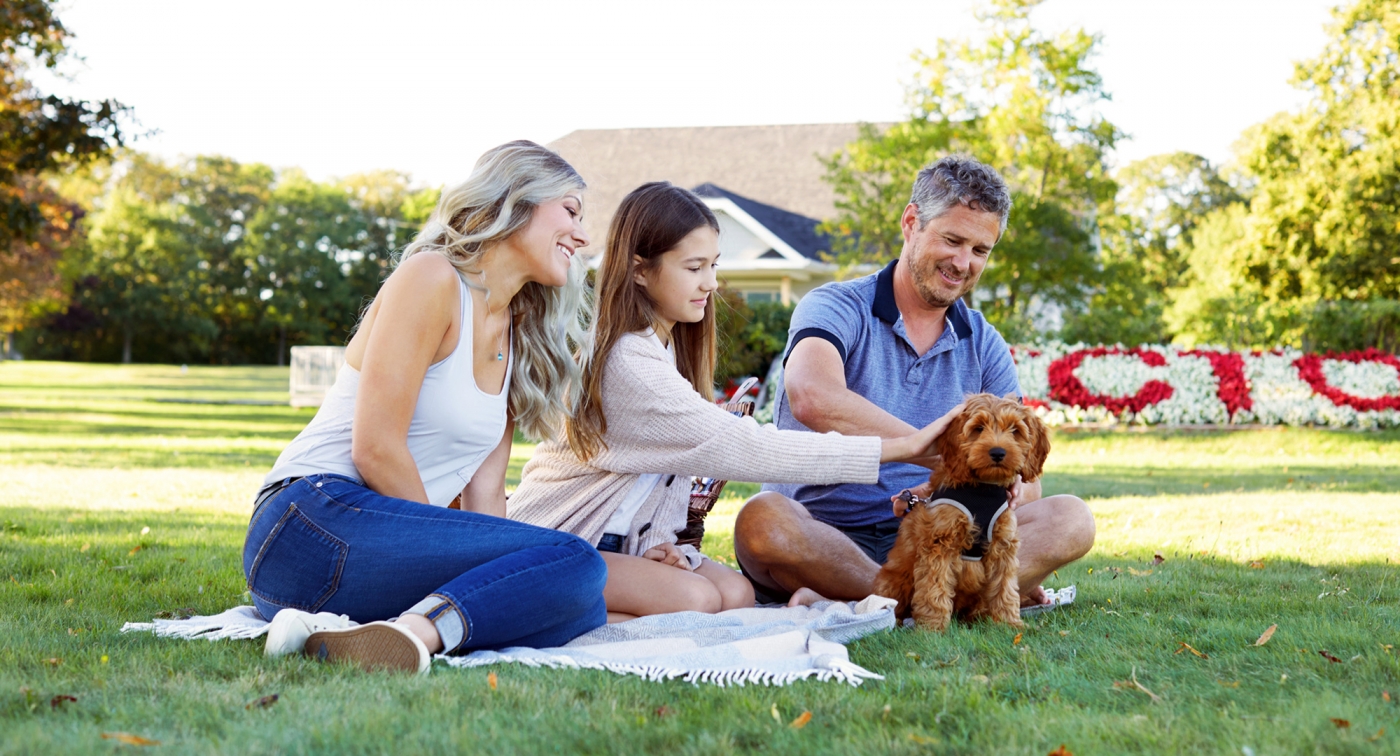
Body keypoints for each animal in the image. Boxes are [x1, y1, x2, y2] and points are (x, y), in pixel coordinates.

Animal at [873, 392, 1052, 630]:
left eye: (1015, 430)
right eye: (978, 428)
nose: (998, 452)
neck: (982, 488)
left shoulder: (1002, 545)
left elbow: (1004, 586)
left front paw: (1009, 622)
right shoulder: (939, 542)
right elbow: (934, 587)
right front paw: (933, 627)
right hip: (895, 580)